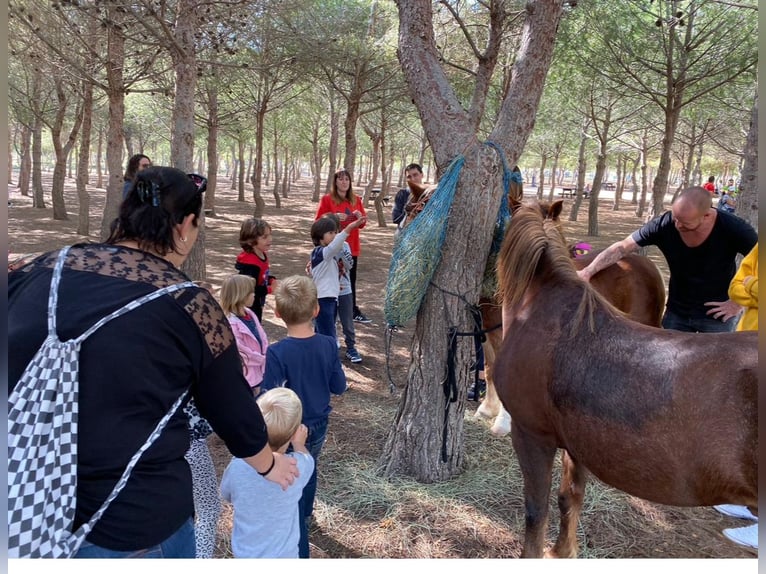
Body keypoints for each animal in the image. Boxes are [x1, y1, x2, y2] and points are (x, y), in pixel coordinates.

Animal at [496, 206, 760, 560]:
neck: (544, 311)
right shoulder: (577, 444)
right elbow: (570, 498)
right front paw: (563, 550)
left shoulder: (532, 436)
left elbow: (536, 514)